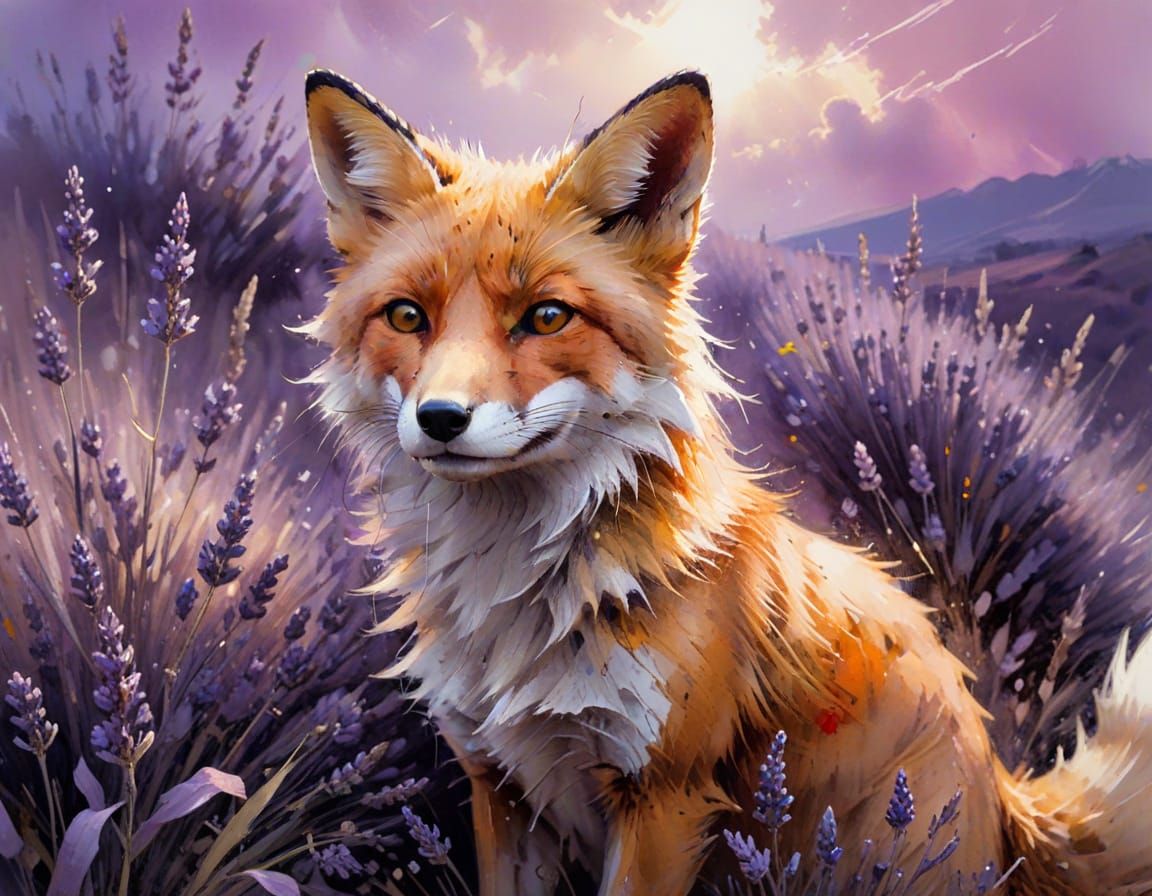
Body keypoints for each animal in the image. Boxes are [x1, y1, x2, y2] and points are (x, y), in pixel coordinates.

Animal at [300, 68, 1152, 895]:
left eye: (546, 317)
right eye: (407, 317)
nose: (441, 418)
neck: (520, 594)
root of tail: (1005, 797)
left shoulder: (664, 797)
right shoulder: (500, 782)